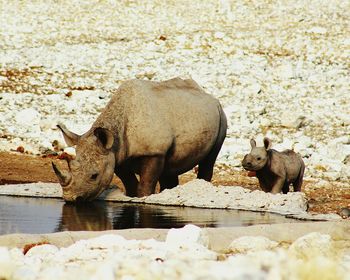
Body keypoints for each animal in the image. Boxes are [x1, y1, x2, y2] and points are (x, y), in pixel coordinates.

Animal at [52, 77, 227, 202]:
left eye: (94, 176)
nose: (71, 199)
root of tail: (208, 95)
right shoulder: (117, 155)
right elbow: (129, 182)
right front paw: (131, 197)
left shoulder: (154, 152)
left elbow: (146, 183)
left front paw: (143, 198)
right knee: (170, 168)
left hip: (221, 115)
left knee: (210, 159)